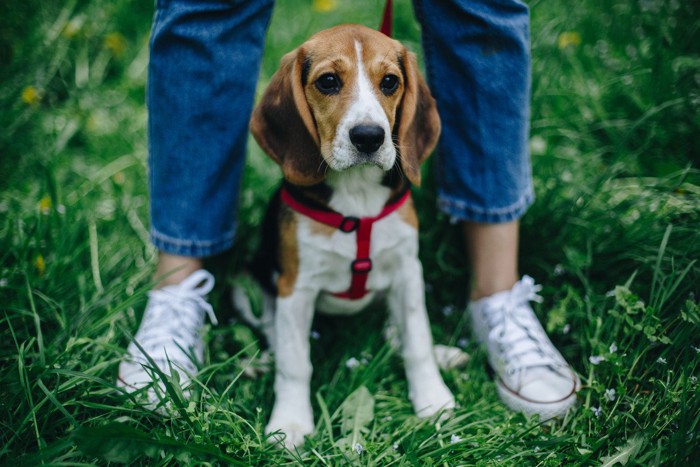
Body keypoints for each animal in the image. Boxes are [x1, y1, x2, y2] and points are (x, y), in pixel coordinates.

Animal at [235, 23, 454, 448]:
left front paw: (432, 399)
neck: (358, 197)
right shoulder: (295, 287)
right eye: (328, 81)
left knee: (396, 329)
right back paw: (262, 361)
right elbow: (295, 362)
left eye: (390, 82)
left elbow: (417, 340)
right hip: (250, 284)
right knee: (272, 331)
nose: (369, 137)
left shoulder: (408, 271)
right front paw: (290, 423)